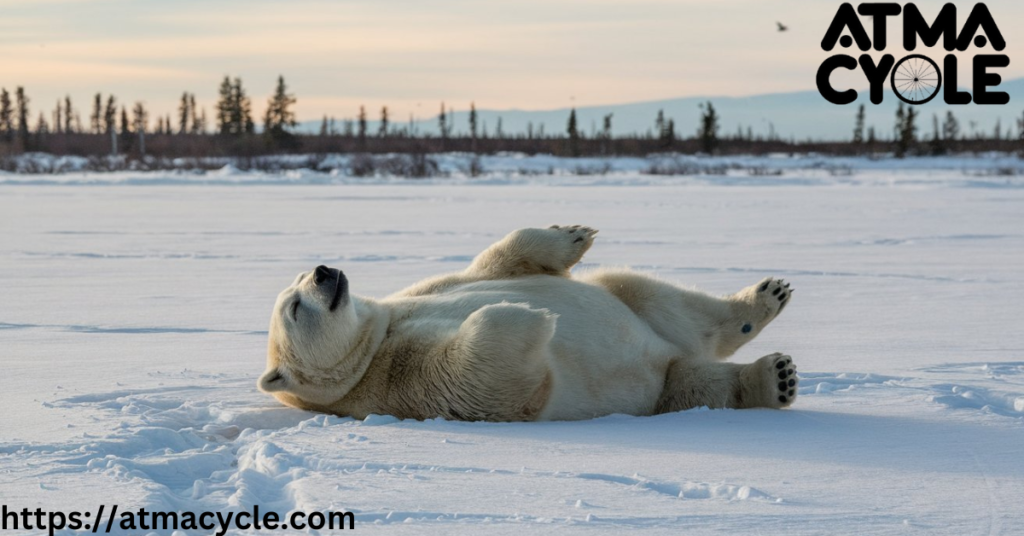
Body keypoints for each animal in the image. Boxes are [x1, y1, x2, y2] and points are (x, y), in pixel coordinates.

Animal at [258, 224, 798, 422]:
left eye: (299, 279)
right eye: (294, 308)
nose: (323, 270)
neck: (376, 343)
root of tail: (667, 355)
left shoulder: (421, 292)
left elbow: (494, 264)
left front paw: (571, 234)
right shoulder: (402, 386)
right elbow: (486, 385)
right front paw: (525, 315)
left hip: (642, 312)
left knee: (656, 298)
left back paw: (765, 300)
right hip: (659, 389)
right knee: (693, 386)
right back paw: (774, 378)